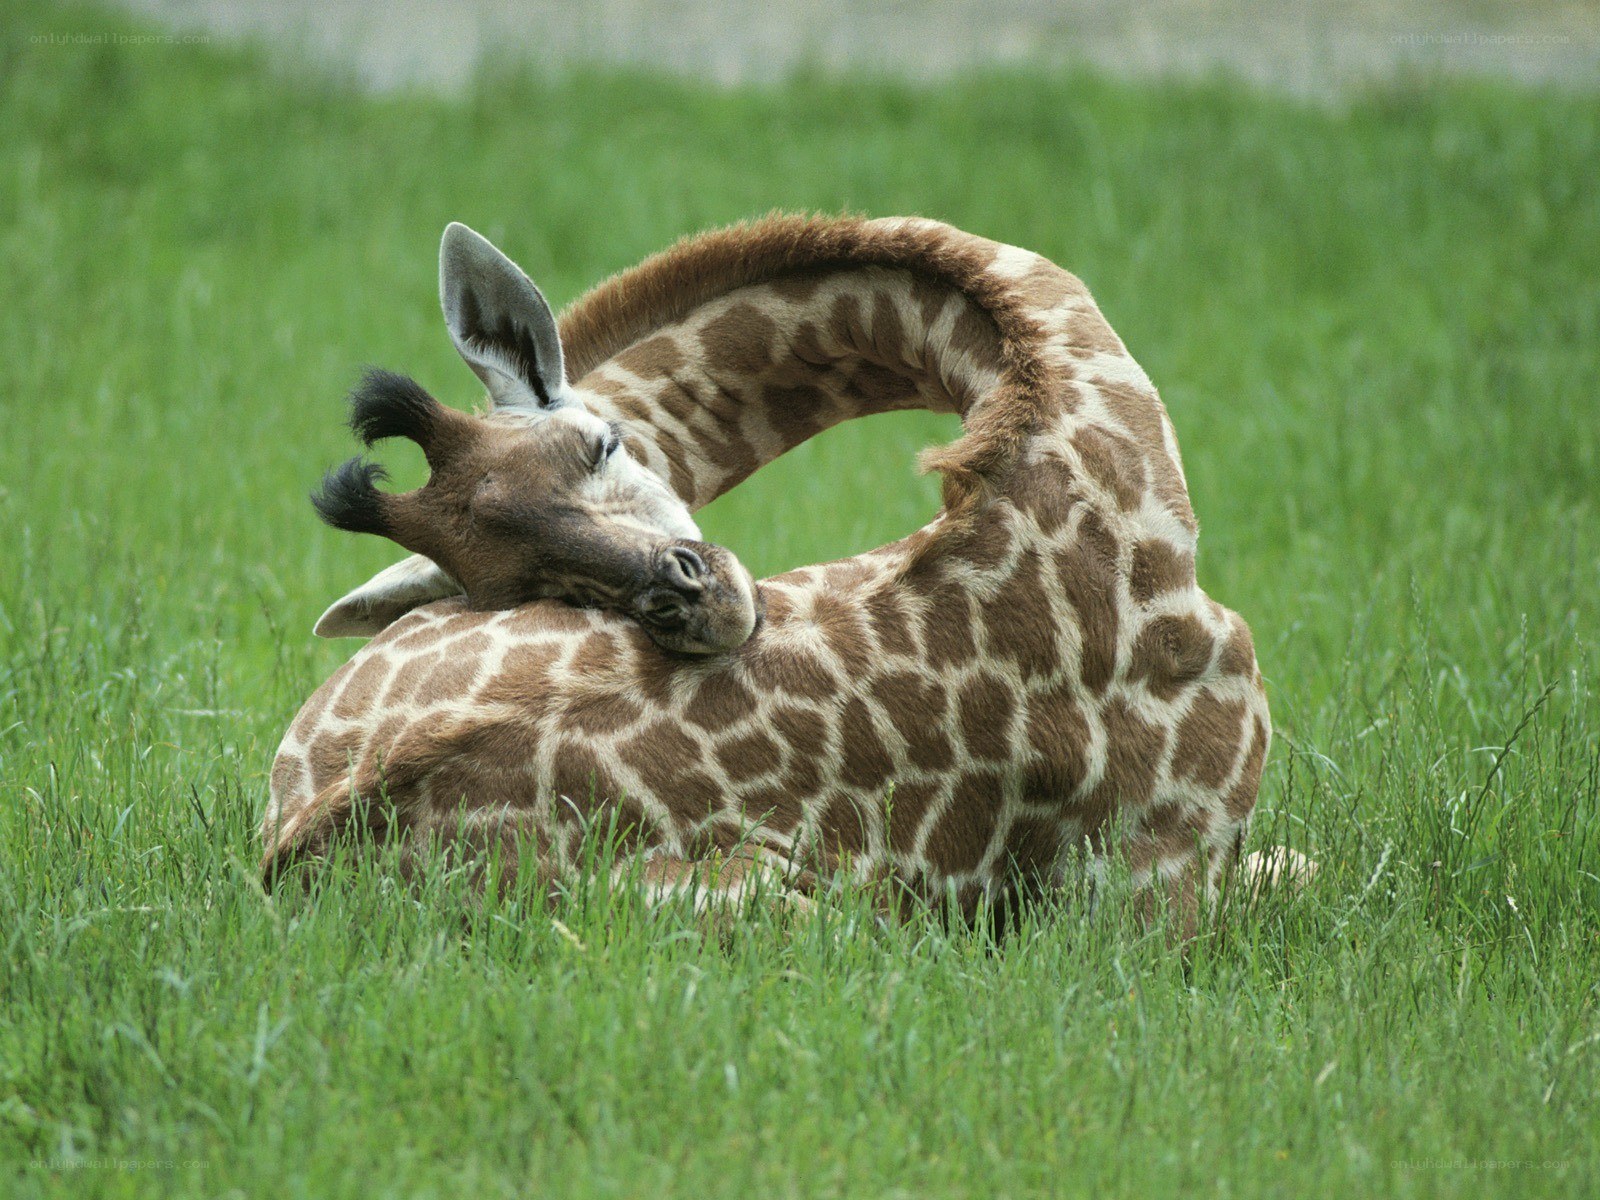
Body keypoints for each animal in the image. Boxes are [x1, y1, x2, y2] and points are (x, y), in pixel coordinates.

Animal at [264, 214, 1292, 933]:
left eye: (602, 444)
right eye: (506, 580)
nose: (691, 602)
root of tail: (293, 857)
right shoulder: (1162, 879)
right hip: (803, 910)